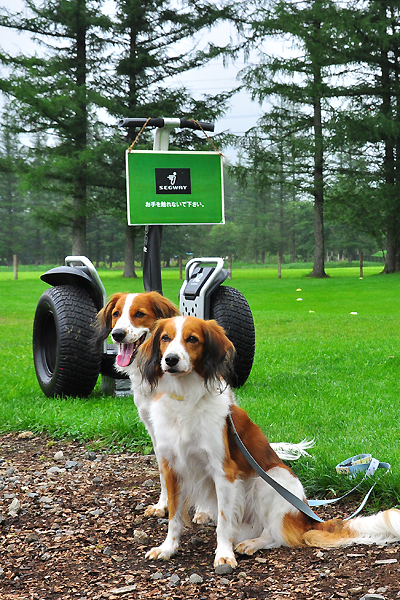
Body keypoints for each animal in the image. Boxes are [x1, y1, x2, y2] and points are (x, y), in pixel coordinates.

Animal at [139, 316, 400, 568]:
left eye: (192, 339)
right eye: (165, 338)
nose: (171, 360)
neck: (184, 400)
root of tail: (306, 519)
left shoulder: (224, 472)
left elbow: (223, 522)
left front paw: (223, 555)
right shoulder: (172, 469)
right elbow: (174, 517)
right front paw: (168, 548)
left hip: (269, 479)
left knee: (276, 535)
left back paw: (252, 544)